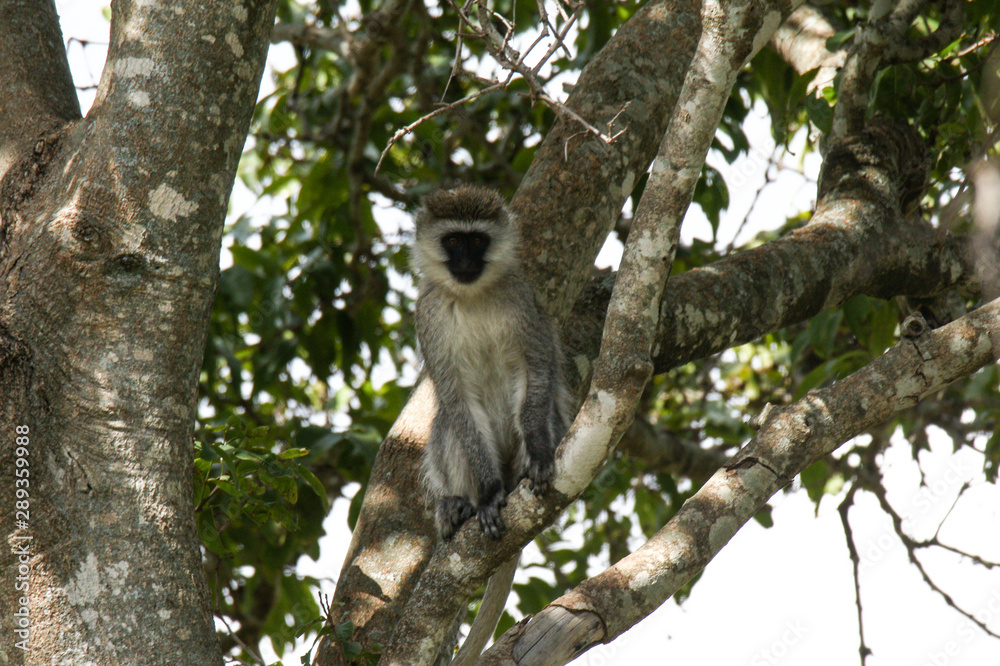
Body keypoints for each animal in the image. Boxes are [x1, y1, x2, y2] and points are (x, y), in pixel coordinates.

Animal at [412, 185, 572, 664]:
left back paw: (520, 474)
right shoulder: (428, 315)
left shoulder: (522, 300)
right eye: (453, 241)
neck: (472, 297)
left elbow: (537, 371)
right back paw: (459, 505)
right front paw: (485, 495)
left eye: (477, 241)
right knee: (447, 424)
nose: (465, 262)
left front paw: (537, 452)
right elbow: (457, 402)